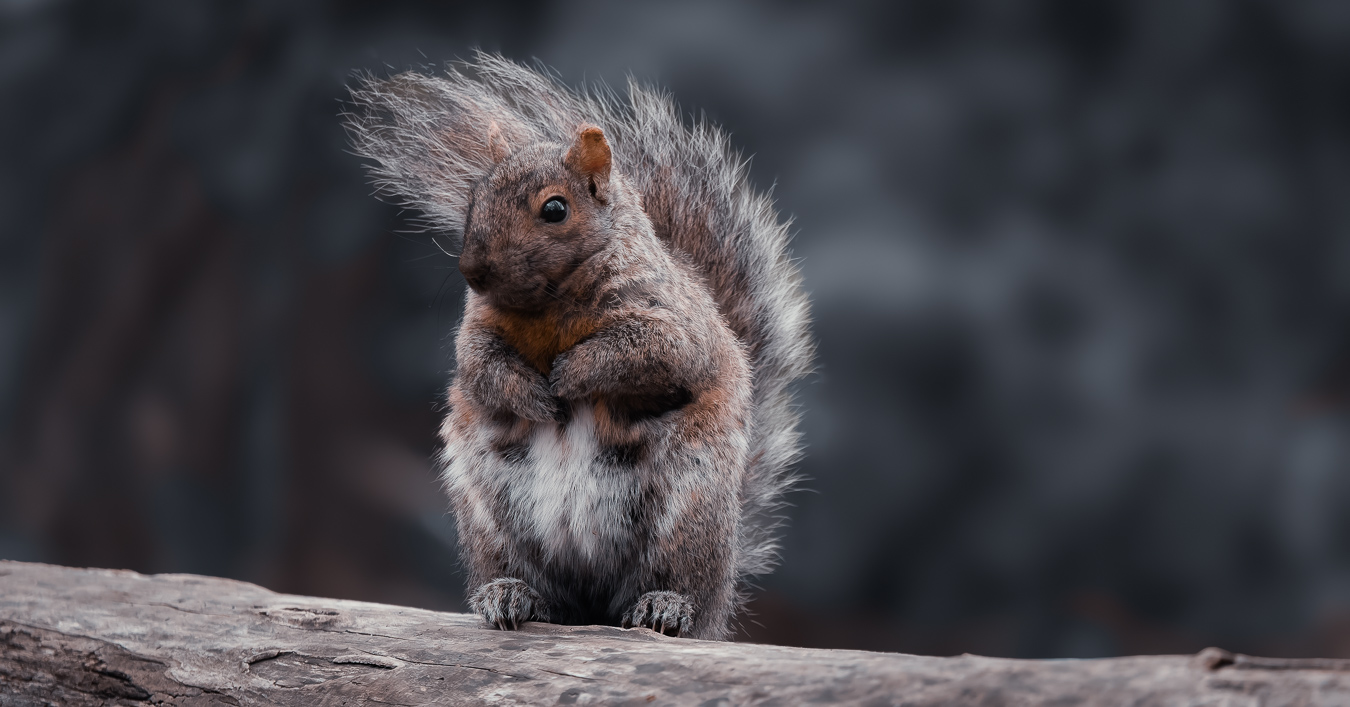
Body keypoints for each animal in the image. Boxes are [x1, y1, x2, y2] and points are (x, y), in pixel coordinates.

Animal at [346, 54, 812, 641]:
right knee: (547, 592)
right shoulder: (476, 334)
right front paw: (531, 394)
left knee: (679, 587)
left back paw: (666, 606)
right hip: (491, 523)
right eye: (475, 199)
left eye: (555, 209)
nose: (473, 270)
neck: (551, 304)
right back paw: (511, 595)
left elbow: (649, 352)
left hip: (690, 513)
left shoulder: (675, 326)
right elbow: (481, 370)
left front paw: (571, 374)